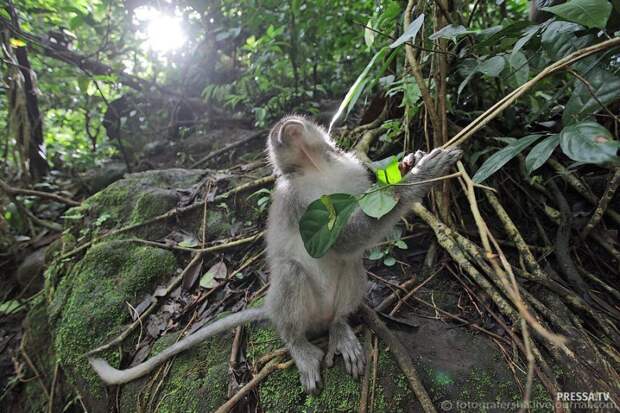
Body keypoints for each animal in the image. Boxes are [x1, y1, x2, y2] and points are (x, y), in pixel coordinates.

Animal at [89, 115, 462, 392]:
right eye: (276, 132)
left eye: (294, 120)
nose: (285, 127)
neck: (316, 167)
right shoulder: (294, 196)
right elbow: (334, 241)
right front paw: (418, 178)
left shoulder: (353, 169)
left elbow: (355, 232)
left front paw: (409, 162)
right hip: (294, 310)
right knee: (292, 272)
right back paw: (298, 344)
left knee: (350, 267)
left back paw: (339, 325)